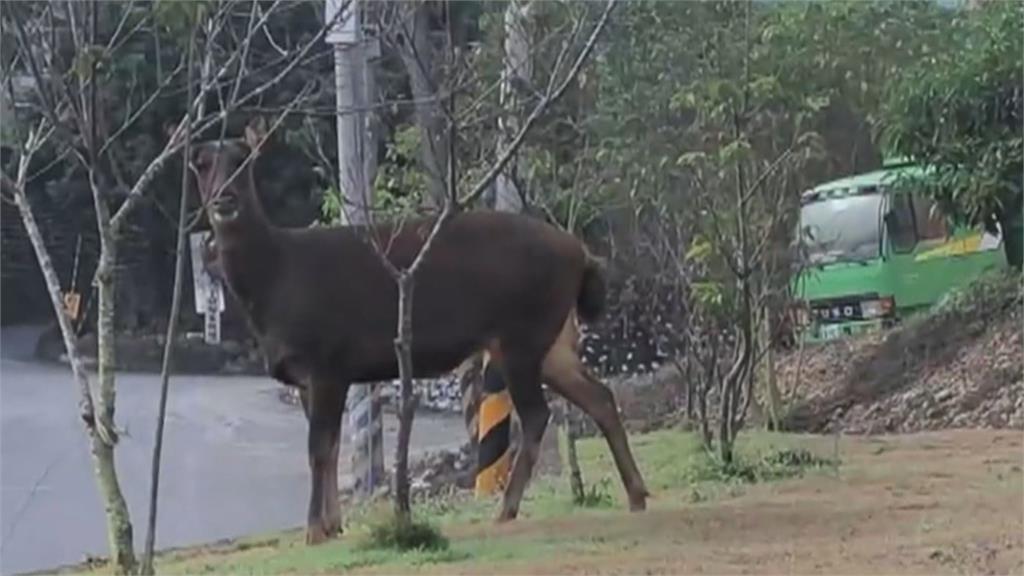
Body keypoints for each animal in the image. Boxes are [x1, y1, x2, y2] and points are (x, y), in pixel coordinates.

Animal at [192, 125, 647, 541]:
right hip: (551, 340)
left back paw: (506, 510)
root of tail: (583, 255)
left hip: (523, 332)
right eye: (200, 163)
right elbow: (333, 448)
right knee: (599, 396)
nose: (224, 200)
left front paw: (314, 531)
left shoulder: (327, 361)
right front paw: (334, 525)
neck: (275, 282)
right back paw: (637, 495)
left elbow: (318, 448)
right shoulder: (309, 375)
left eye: (244, 161)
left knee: (537, 414)